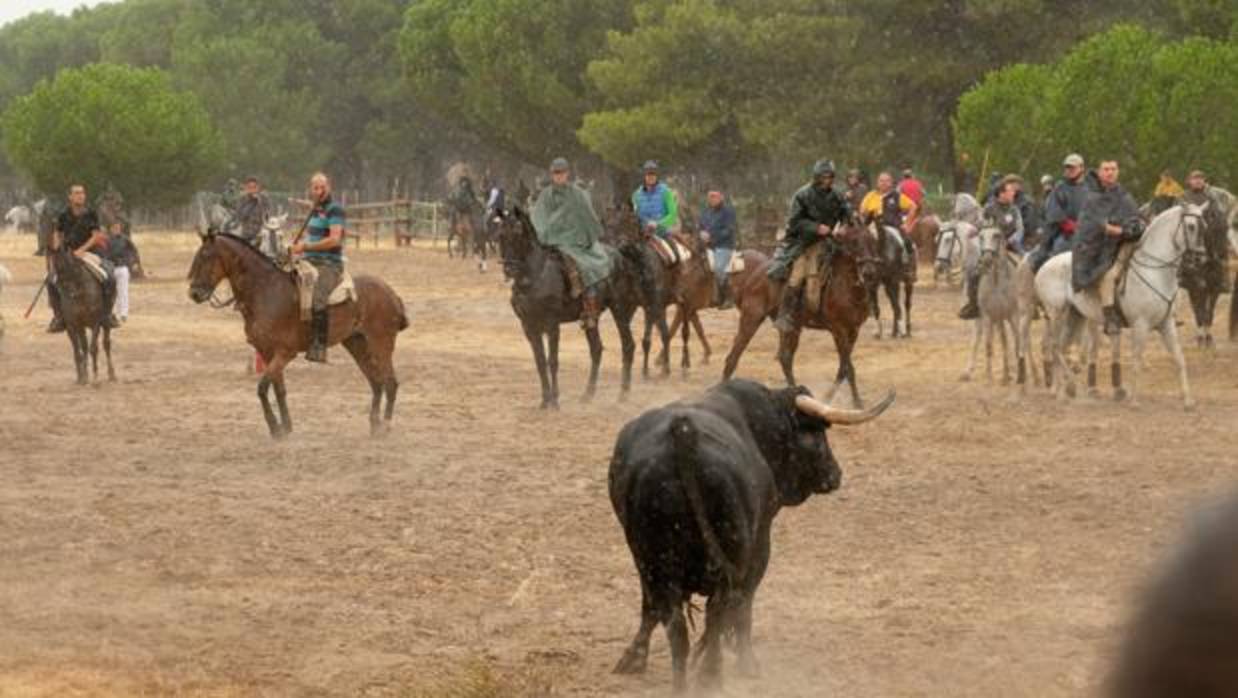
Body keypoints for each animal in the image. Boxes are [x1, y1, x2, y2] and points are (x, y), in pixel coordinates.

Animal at [188, 231, 408, 438]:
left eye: (206, 256)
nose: (194, 293)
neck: (266, 291)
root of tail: (391, 293)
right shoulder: (267, 352)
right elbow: (279, 389)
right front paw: (286, 427)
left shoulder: (284, 353)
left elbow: (262, 387)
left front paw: (275, 429)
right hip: (356, 344)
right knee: (376, 382)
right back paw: (375, 426)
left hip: (381, 343)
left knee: (390, 382)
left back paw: (385, 427)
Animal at [606, 378, 891, 688]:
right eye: (818, 434)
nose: (835, 474)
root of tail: (683, 431)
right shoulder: (760, 543)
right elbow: (744, 607)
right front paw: (746, 661)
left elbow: (652, 609)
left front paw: (633, 658)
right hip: (734, 552)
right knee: (719, 608)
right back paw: (711, 673)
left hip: (652, 558)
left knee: (675, 622)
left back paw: (681, 681)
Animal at [718, 225, 881, 403]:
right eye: (854, 242)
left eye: (873, 240)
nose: (870, 272)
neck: (847, 287)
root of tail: (755, 273)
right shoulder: (838, 331)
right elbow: (847, 368)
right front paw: (855, 403)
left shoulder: (853, 331)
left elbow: (843, 369)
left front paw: (835, 398)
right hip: (751, 319)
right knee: (733, 358)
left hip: (792, 327)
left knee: (785, 359)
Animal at [1034, 201, 1208, 408]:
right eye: (1191, 226)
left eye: (1205, 226)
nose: (1201, 258)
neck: (1155, 272)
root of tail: (1044, 266)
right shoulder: (1140, 325)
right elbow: (1137, 359)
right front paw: (1134, 401)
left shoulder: (1167, 324)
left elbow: (1179, 359)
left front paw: (1188, 400)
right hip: (1057, 314)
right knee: (1054, 347)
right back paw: (1070, 389)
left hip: (1074, 315)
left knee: (1060, 347)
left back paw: (1063, 391)